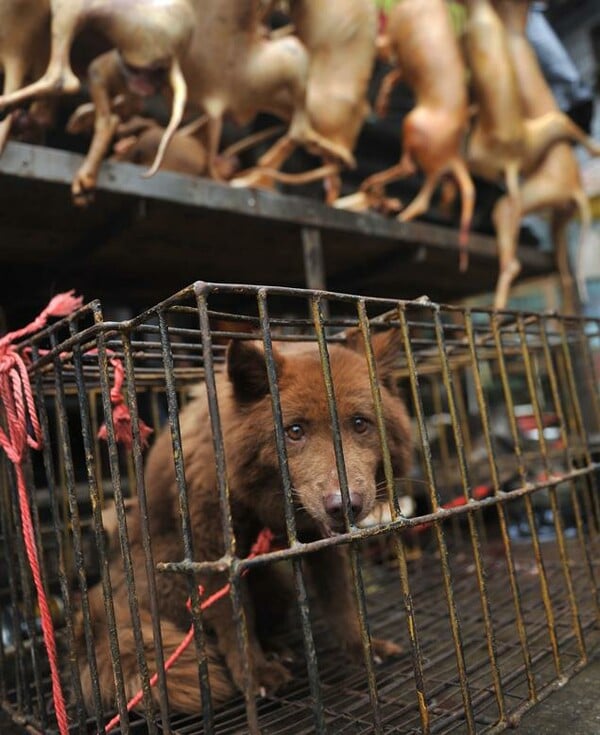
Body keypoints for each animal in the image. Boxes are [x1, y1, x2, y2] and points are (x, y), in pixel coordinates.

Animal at [79, 330, 412, 716]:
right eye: (294, 430)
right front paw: (255, 674)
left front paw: (365, 648)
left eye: (360, 423)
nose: (345, 505)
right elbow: (235, 621)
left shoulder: (320, 543)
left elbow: (340, 601)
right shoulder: (214, 553)